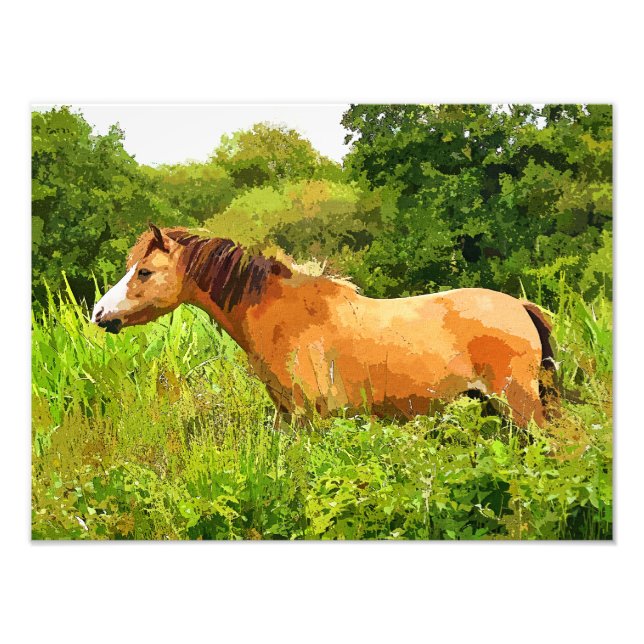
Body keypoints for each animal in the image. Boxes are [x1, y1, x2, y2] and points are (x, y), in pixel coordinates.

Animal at [91, 223, 556, 427]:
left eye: (144, 272)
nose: (98, 312)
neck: (280, 315)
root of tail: (519, 306)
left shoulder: (310, 419)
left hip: (519, 407)